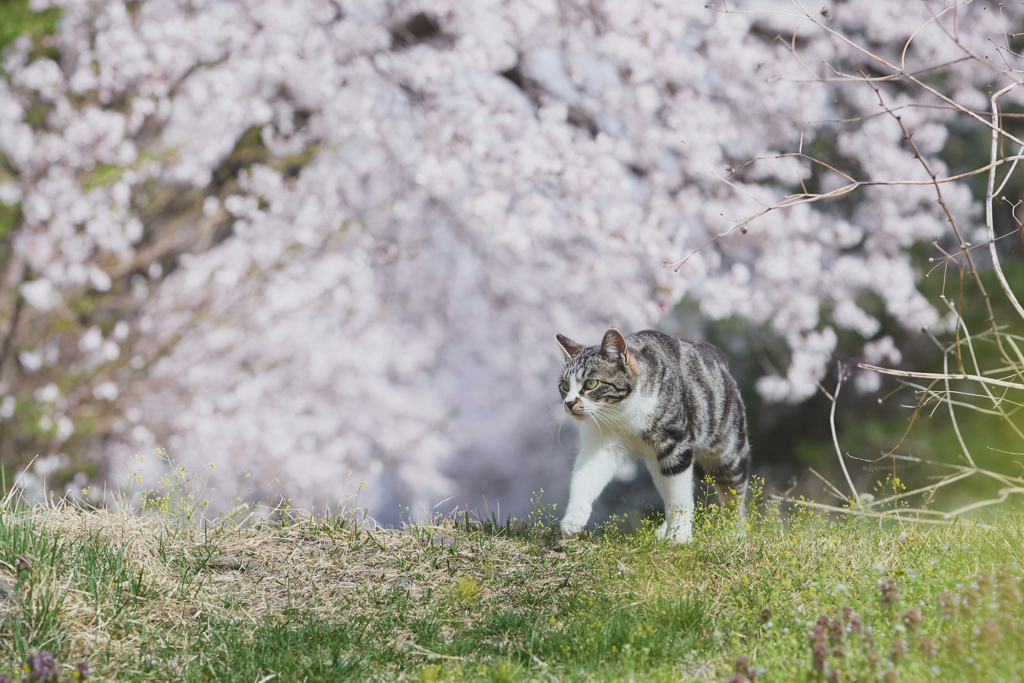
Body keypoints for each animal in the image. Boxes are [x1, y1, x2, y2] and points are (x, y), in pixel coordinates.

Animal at [552, 327, 753, 540]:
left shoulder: (676, 445)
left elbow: (678, 497)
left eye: (591, 383)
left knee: (733, 493)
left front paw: (679, 537)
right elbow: (585, 476)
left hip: (727, 450)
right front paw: (572, 520)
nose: (569, 403)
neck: (622, 415)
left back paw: (735, 532)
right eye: (565, 386)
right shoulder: (600, 444)